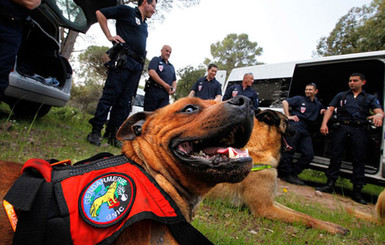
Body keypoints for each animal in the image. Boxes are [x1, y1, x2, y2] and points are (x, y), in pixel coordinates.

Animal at [206, 110, 350, 234]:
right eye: (287, 121)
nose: (298, 130)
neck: (260, 151)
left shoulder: (271, 201)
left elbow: (303, 214)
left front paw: (336, 226)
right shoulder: (266, 209)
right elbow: (304, 219)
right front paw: (334, 230)